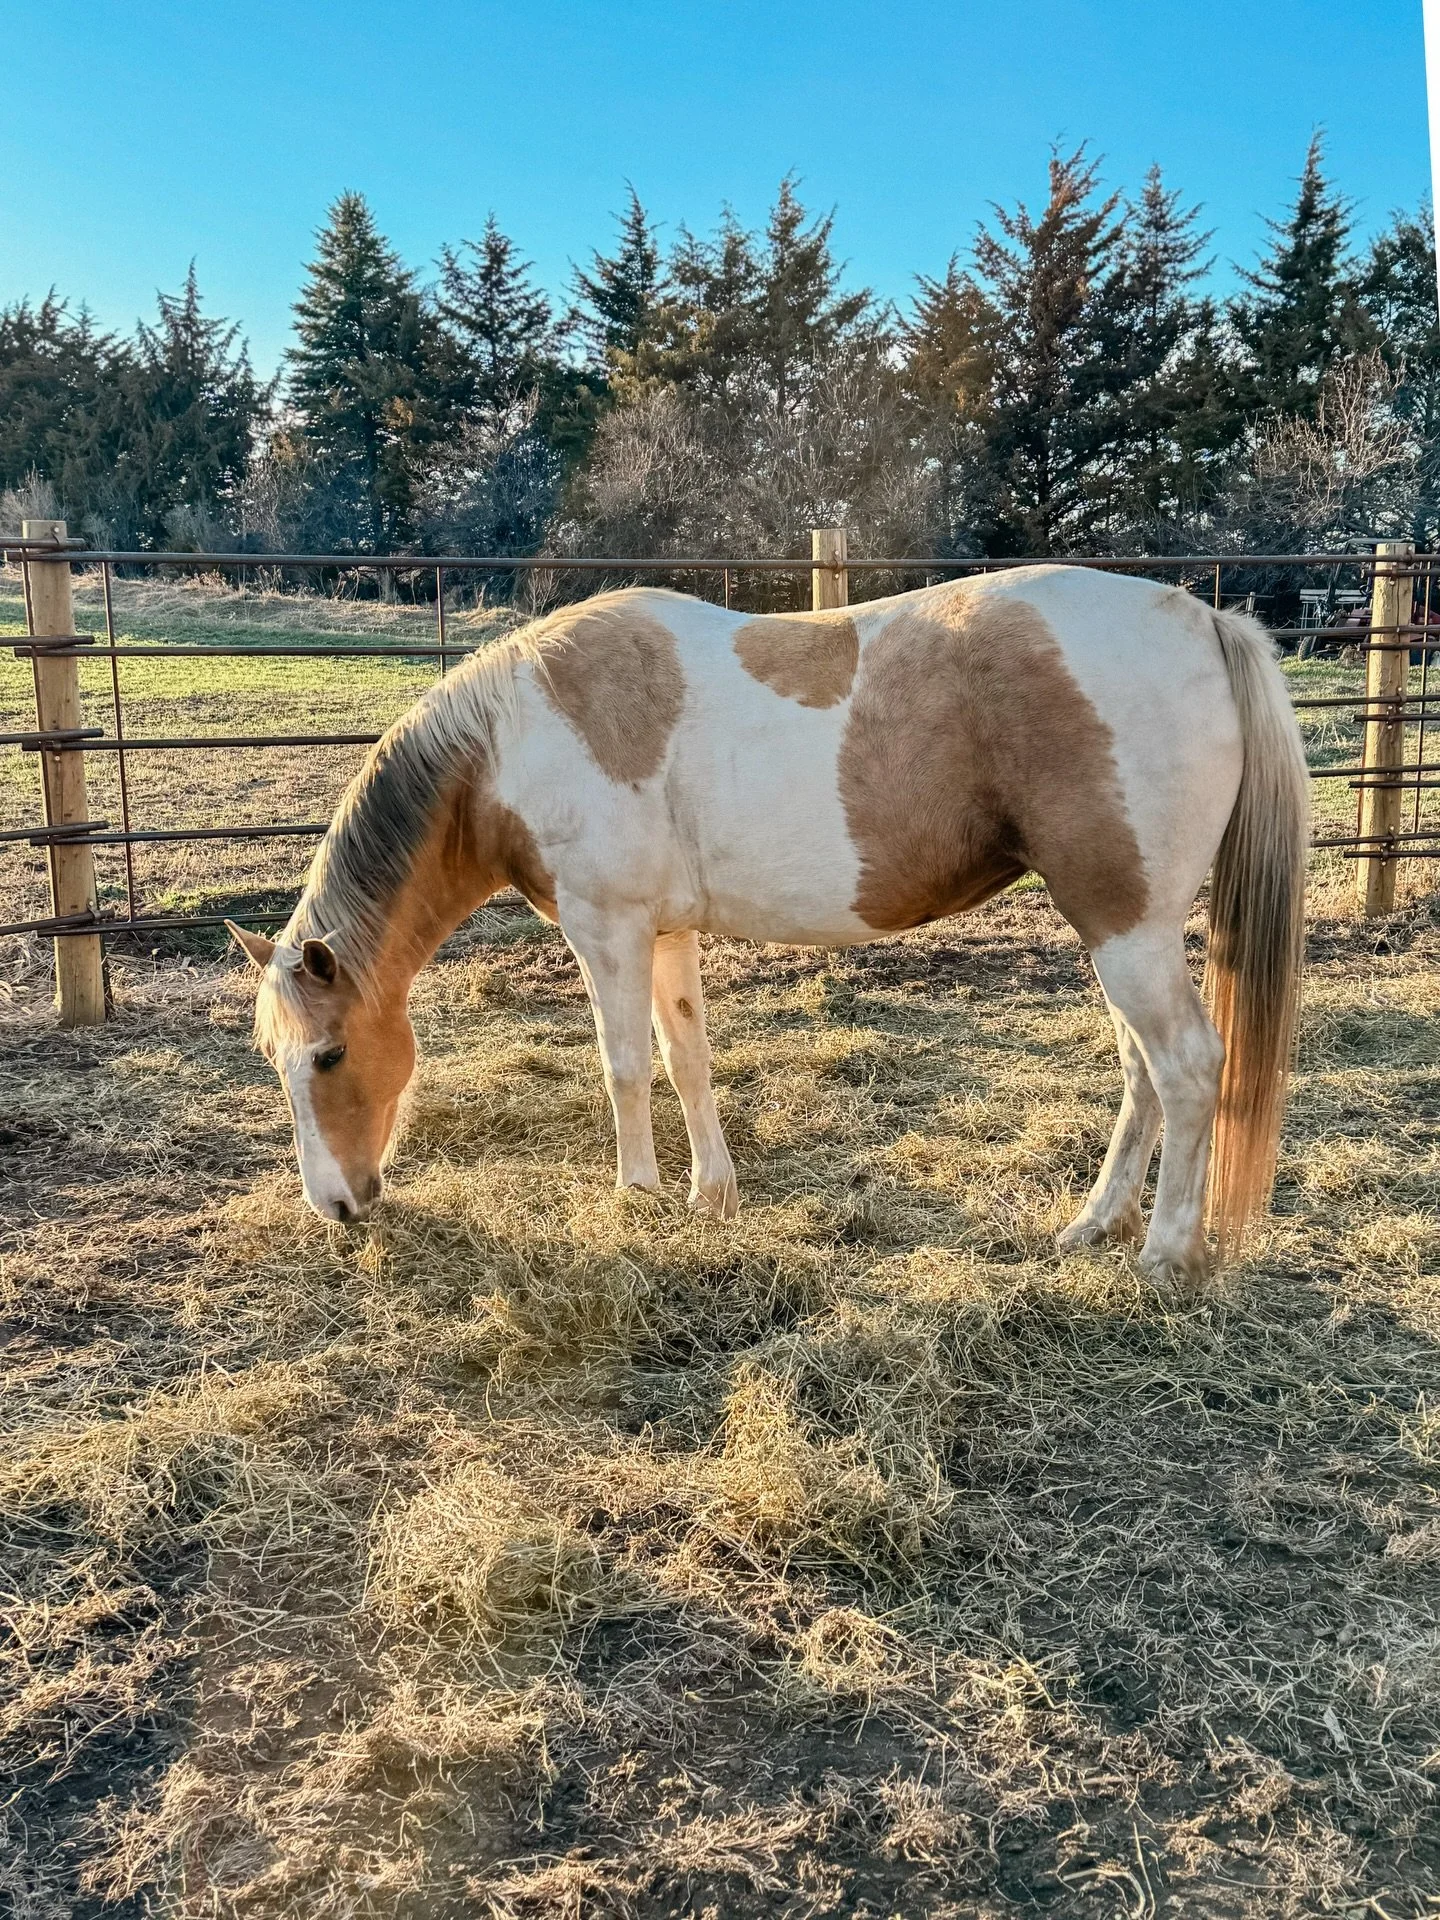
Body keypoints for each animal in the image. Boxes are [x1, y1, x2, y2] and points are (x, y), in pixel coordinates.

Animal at [227, 565, 1309, 1292]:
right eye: (274, 1059)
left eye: (328, 1057)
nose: (334, 1205)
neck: (513, 739)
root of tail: (1204, 618)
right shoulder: (666, 934)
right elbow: (686, 1058)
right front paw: (711, 1195)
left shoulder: (607, 928)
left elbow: (624, 1066)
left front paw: (635, 1197)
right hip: (1119, 932)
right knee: (1143, 1074)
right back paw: (1093, 1225)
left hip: (1128, 930)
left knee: (1186, 1068)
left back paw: (1164, 1254)